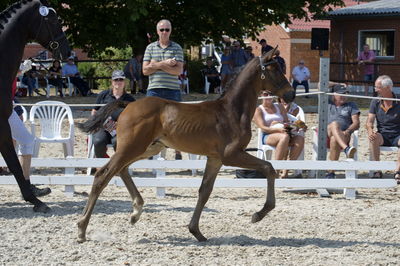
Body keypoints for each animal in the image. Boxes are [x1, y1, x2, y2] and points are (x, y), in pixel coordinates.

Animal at [77, 48, 294, 243]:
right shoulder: (231, 155)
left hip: (147, 148)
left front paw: (196, 231)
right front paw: (258, 214)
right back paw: (82, 229)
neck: (231, 111)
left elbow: (204, 191)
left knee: (121, 170)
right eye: (274, 68)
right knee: (103, 175)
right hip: (132, 147)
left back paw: (136, 211)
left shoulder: (215, 159)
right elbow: (269, 167)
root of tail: (128, 105)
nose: (290, 94)